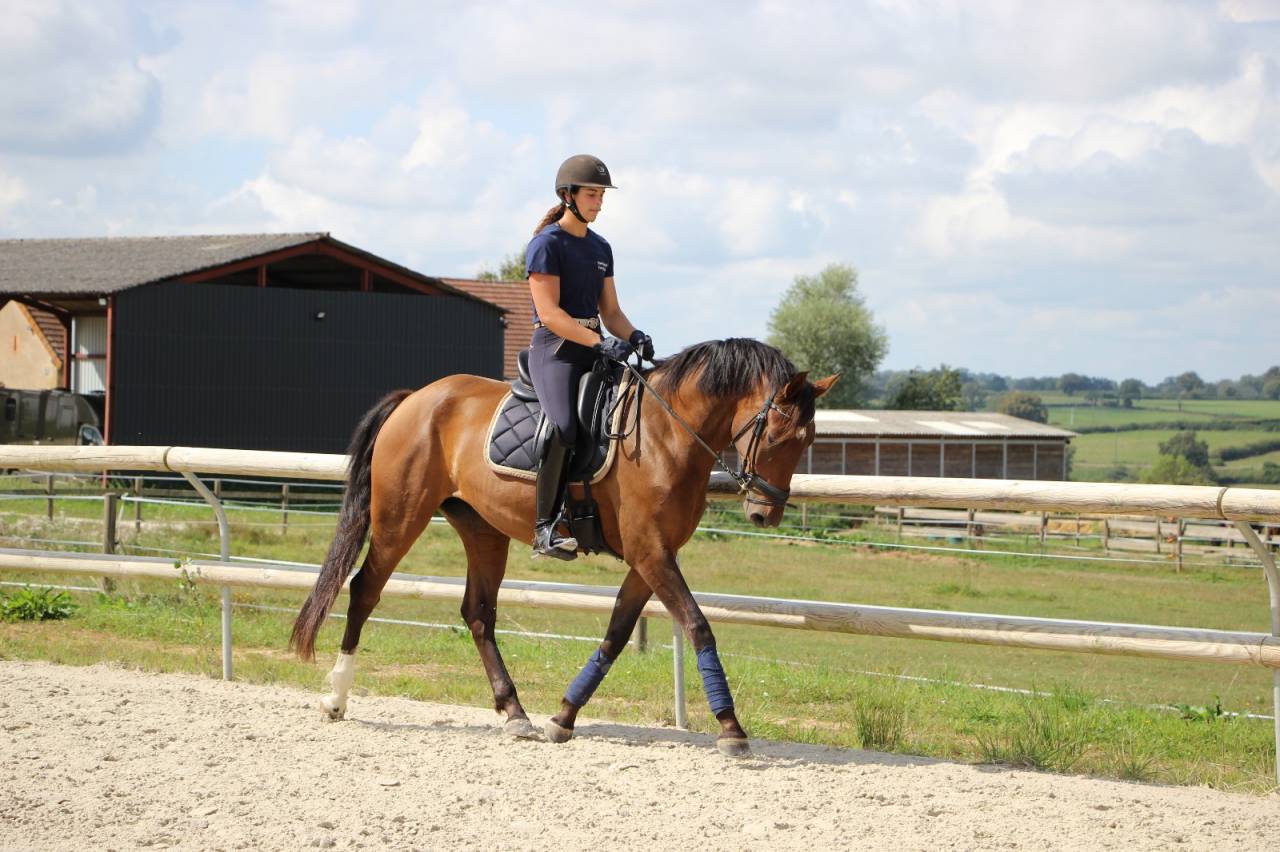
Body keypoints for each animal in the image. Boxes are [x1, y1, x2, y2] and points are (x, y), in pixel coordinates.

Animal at [290, 337, 837, 755]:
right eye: (777, 436)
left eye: (808, 441)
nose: (765, 514)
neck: (666, 434)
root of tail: (416, 398)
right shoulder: (650, 552)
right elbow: (699, 626)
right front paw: (731, 728)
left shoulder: (651, 557)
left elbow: (616, 635)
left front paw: (565, 716)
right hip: (399, 518)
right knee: (365, 590)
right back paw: (336, 699)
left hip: (483, 531)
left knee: (478, 614)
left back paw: (515, 713)